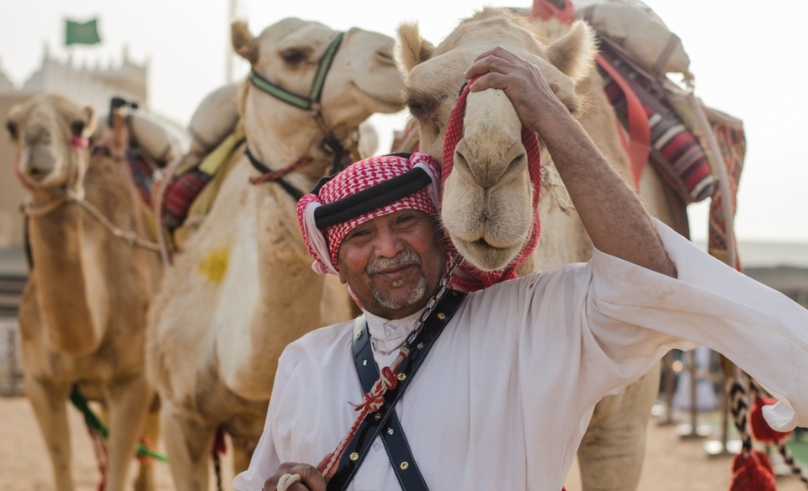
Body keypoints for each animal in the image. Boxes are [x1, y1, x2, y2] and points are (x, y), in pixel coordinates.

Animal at [6, 95, 163, 491]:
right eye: (11, 126)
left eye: (77, 125)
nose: (37, 140)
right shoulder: (40, 383)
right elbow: (62, 470)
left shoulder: (133, 381)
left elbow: (119, 473)